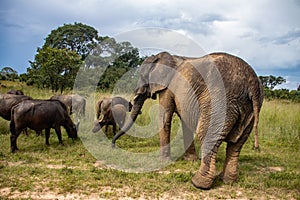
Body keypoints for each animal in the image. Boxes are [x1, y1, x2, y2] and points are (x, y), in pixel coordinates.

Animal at [111, 51, 264, 189]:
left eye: (143, 76)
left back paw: (198, 183)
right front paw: (190, 160)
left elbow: (164, 117)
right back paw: (227, 181)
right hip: (249, 109)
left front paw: (163, 161)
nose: (113, 145)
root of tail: (252, 83)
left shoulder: (168, 88)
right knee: (236, 144)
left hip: (221, 101)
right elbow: (185, 122)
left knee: (207, 135)